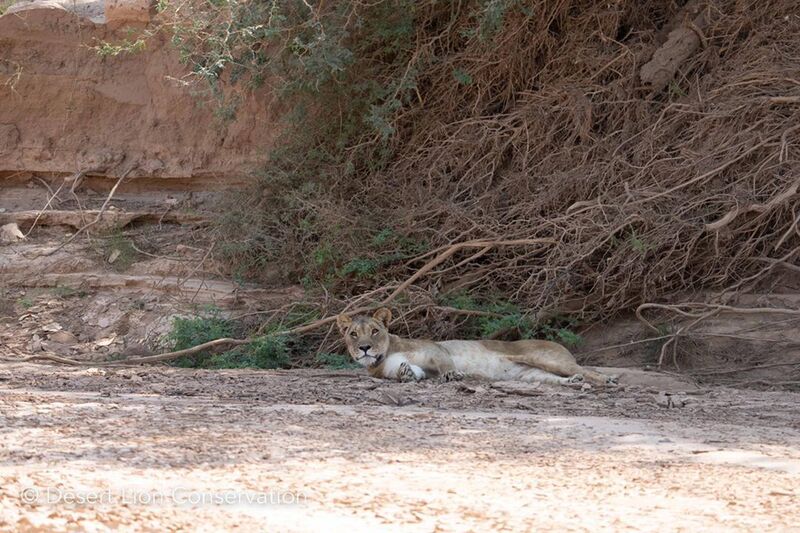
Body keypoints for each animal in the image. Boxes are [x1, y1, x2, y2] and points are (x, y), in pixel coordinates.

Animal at [338, 308, 620, 386]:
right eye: (354, 334)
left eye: (375, 331)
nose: (365, 348)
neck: (386, 354)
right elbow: (408, 373)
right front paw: (406, 373)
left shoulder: (435, 349)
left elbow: (445, 364)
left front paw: (454, 375)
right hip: (531, 374)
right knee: (557, 378)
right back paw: (572, 382)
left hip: (542, 357)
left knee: (584, 368)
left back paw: (607, 380)